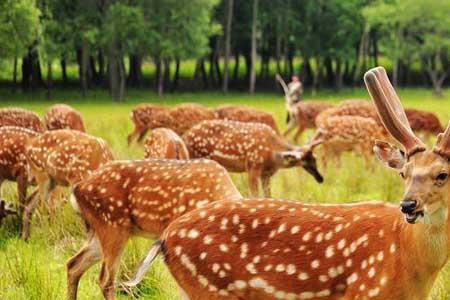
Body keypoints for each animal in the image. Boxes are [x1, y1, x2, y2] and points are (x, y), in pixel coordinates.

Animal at [183, 119, 324, 197]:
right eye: (307, 160)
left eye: (315, 158)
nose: (320, 178)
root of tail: (185, 136)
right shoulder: (252, 166)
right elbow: (254, 196)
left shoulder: (266, 174)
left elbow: (268, 196)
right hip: (198, 155)